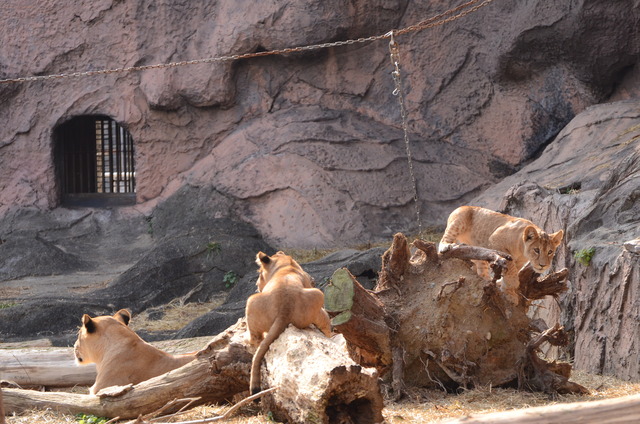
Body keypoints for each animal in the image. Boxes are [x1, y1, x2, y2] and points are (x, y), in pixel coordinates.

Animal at [246, 252, 332, 394]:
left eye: (259, 273)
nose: (257, 284)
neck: (285, 265)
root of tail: (285, 309)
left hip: (250, 300)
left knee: (256, 338)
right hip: (318, 294)